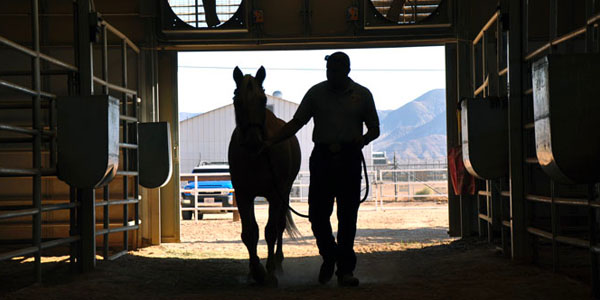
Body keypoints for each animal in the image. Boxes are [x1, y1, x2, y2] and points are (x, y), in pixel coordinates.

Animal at [227, 65, 302, 286]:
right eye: (238, 101)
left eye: (262, 100)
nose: (254, 141)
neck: (257, 157)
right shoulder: (243, 195)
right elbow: (249, 233)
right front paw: (255, 270)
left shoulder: (275, 195)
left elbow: (270, 231)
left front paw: (269, 272)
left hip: (285, 192)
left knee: (279, 226)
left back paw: (278, 263)